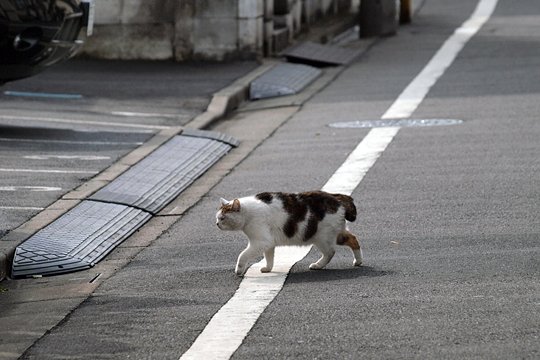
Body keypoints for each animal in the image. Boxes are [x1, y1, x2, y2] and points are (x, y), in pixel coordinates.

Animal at [215, 190, 362, 278]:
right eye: (217, 217)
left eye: (222, 218)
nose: (216, 224)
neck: (248, 213)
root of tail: (337, 197)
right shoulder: (268, 243)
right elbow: (269, 257)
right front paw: (268, 268)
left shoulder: (260, 241)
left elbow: (243, 255)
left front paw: (239, 269)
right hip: (336, 234)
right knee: (353, 239)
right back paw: (358, 261)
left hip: (321, 237)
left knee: (330, 252)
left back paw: (318, 265)